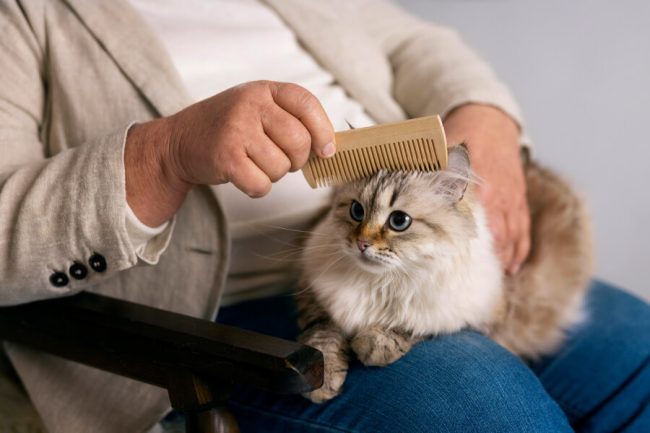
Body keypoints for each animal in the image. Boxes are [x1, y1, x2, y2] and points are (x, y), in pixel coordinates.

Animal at [296, 144, 588, 402]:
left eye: (399, 221)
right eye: (357, 211)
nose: (362, 244)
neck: (381, 282)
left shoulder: (474, 313)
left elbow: (413, 326)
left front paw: (373, 345)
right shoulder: (315, 297)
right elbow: (322, 339)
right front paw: (321, 384)